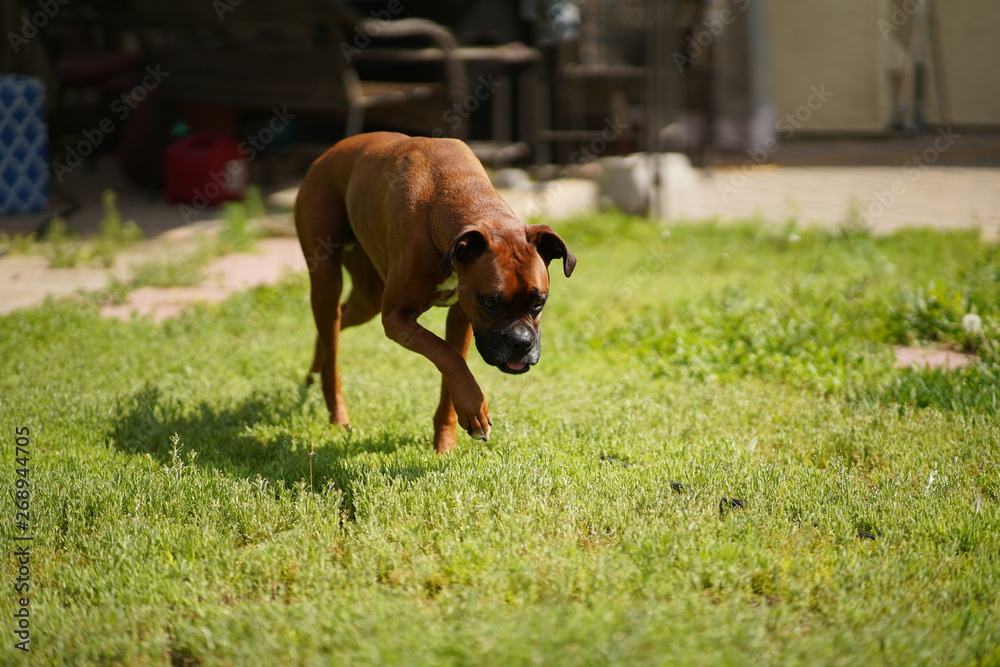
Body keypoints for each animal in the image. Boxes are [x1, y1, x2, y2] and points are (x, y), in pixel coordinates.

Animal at [296, 132, 576, 454]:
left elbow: (452, 366)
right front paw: (475, 407)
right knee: (331, 339)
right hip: (326, 282)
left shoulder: (461, 317)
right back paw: (337, 413)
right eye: (491, 303)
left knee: (336, 325)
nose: (521, 343)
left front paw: (446, 440)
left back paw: (310, 377)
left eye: (539, 302)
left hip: (367, 297)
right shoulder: (396, 318)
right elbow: (448, 355)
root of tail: (326, 154)